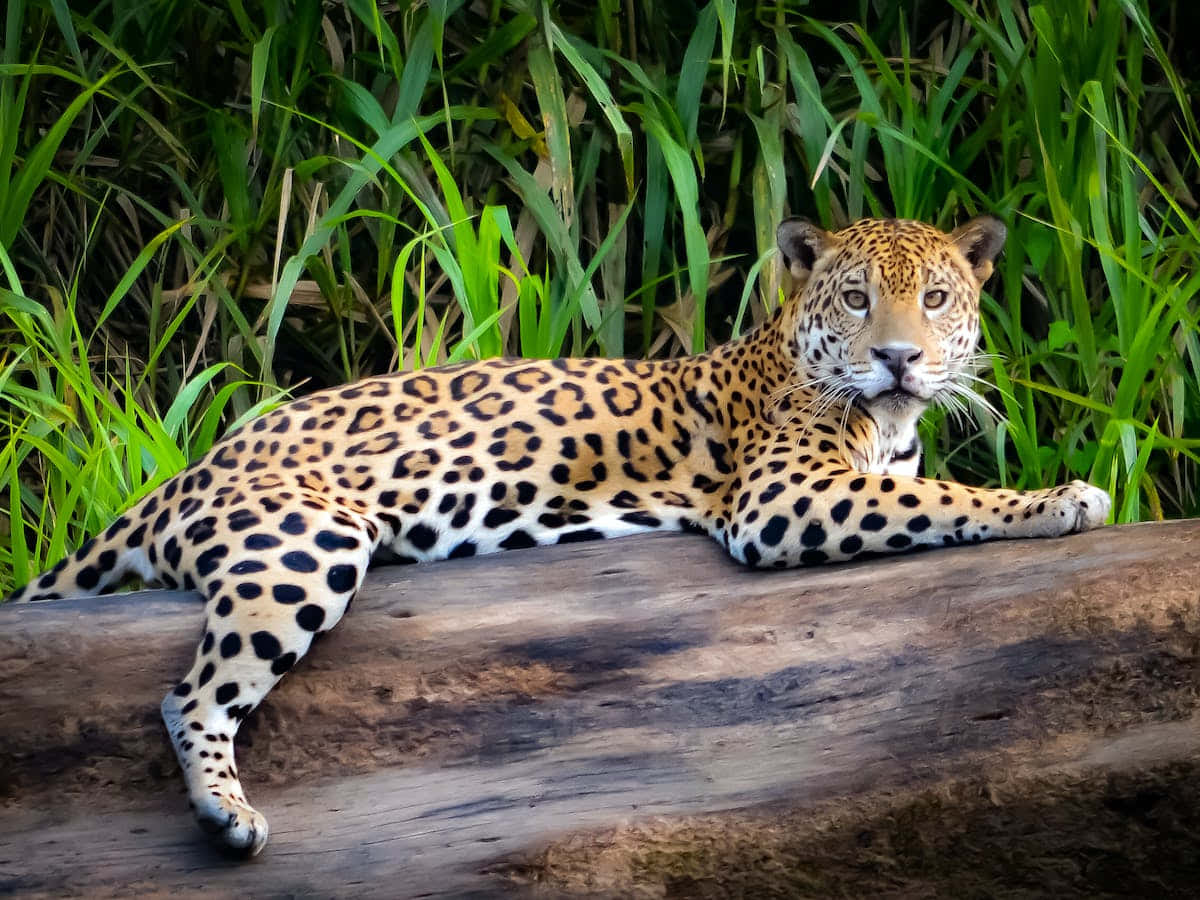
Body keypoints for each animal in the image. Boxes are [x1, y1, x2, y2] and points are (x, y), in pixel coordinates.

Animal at [4, 213, 1111, 857]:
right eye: (855, 298)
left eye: (936, 298)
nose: (898, 358)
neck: (882, 420)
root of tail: (195, 465)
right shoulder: (784, 497)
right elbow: (953, 500)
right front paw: (1060, 498)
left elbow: (932, 489)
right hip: (306, 540)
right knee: (190, 694)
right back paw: (228, 817)